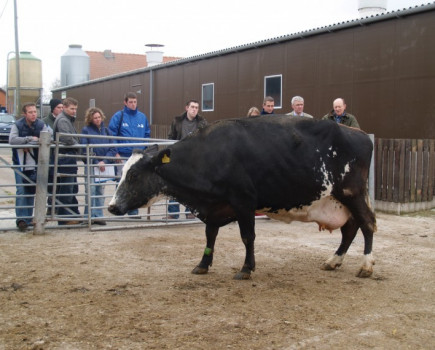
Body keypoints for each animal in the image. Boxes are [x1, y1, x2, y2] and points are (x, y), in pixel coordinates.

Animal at [107, 116, 376, 280]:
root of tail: (360, 134)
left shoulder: (244, 201)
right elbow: (210, 236)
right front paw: (203, 264)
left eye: (133, 175)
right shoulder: (215, 207)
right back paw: (334, 261)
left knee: (367, 224)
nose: (111, 206)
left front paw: (246, 268)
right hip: (340, 199)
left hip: (351, 193)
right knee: (350, 229)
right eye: (124, 172)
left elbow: (248, 237)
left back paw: (366, 265)